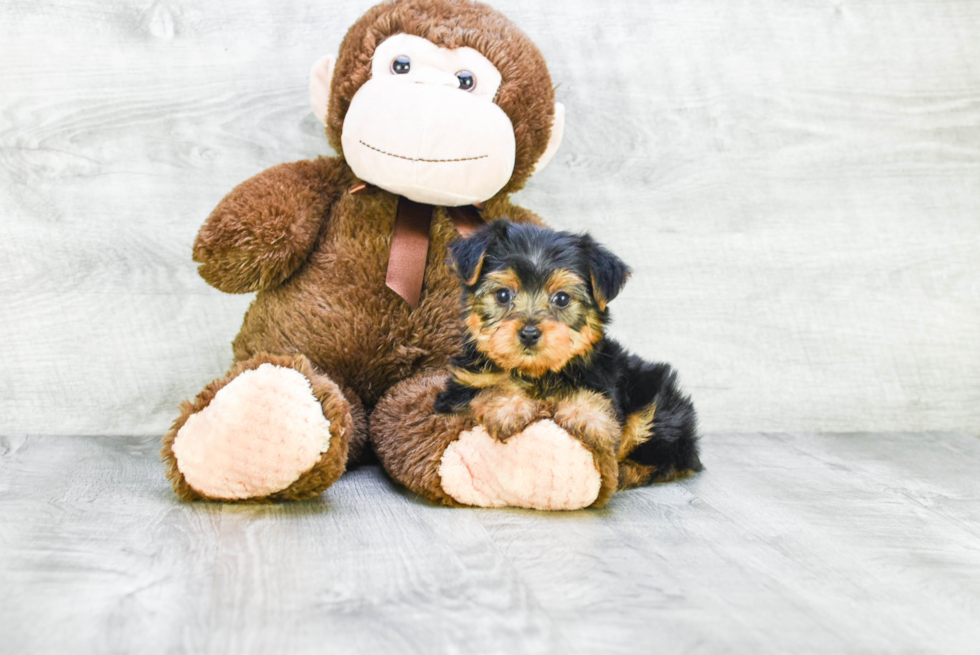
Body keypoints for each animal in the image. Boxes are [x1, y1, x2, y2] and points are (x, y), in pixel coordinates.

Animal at [432, 222, 700, 492]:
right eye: (503, 295)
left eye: (561, 298)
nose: (529, 333)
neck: (537, 373)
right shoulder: (459, 390)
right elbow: (488, 389)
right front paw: (507, 406)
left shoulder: (601, 380)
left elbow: (595, 399)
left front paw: (589, 417)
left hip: (658, 401)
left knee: (664, 451)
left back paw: (626, 473)